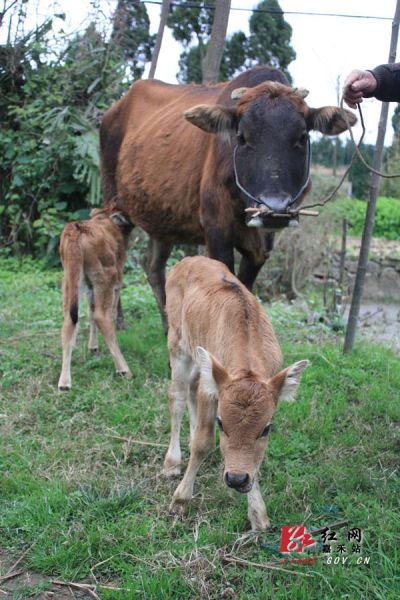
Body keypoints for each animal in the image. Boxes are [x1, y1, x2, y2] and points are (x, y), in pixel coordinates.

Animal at [57, 204, 133, 392]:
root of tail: (75, 229)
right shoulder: (115, 283)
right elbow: (108, 313)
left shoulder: (90, 286)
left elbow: (90, 313)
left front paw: (93, 347)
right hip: (105, 278)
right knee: (102, 316)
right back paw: (124, 370)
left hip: (71, 281)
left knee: (70, 320)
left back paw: (64, 382)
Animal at [100, 67, 356, 326]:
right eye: (241, 137)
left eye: (302, 136)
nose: (274, 208)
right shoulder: (217, 232)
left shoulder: (261, 247)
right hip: (115, 207)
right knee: (115, 262)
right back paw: (116, 319)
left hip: (162, 220)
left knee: (153, 266)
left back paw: (167, 323)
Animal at [162, 256, 310, 528]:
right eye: (221, 423)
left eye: (266, 428)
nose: (237, 479)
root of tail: (188, 259)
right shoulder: (211, 389)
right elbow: (203, 443)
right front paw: (180, 501)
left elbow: (256, 457)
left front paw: (258, 515)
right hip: (177, 344)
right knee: (176, 396)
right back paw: (172, 462)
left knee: (190, 388)